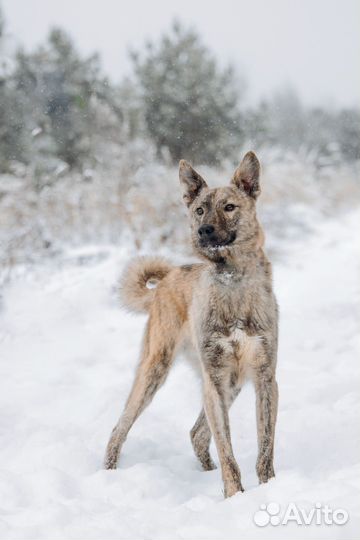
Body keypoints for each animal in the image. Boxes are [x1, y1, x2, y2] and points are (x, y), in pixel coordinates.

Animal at [104, 152, 278, 498]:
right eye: (199, 210)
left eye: (229, 207)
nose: (204, 231)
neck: (232, 281)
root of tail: (167, 279)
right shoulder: (215, 380)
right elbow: (227, 451)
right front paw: (234, 496)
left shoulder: (265, 377)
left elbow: (265, 447)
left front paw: (270, 488)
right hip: (155, 373)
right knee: (120, 426)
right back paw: (108, 475)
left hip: (232, 384)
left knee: (197, 434)